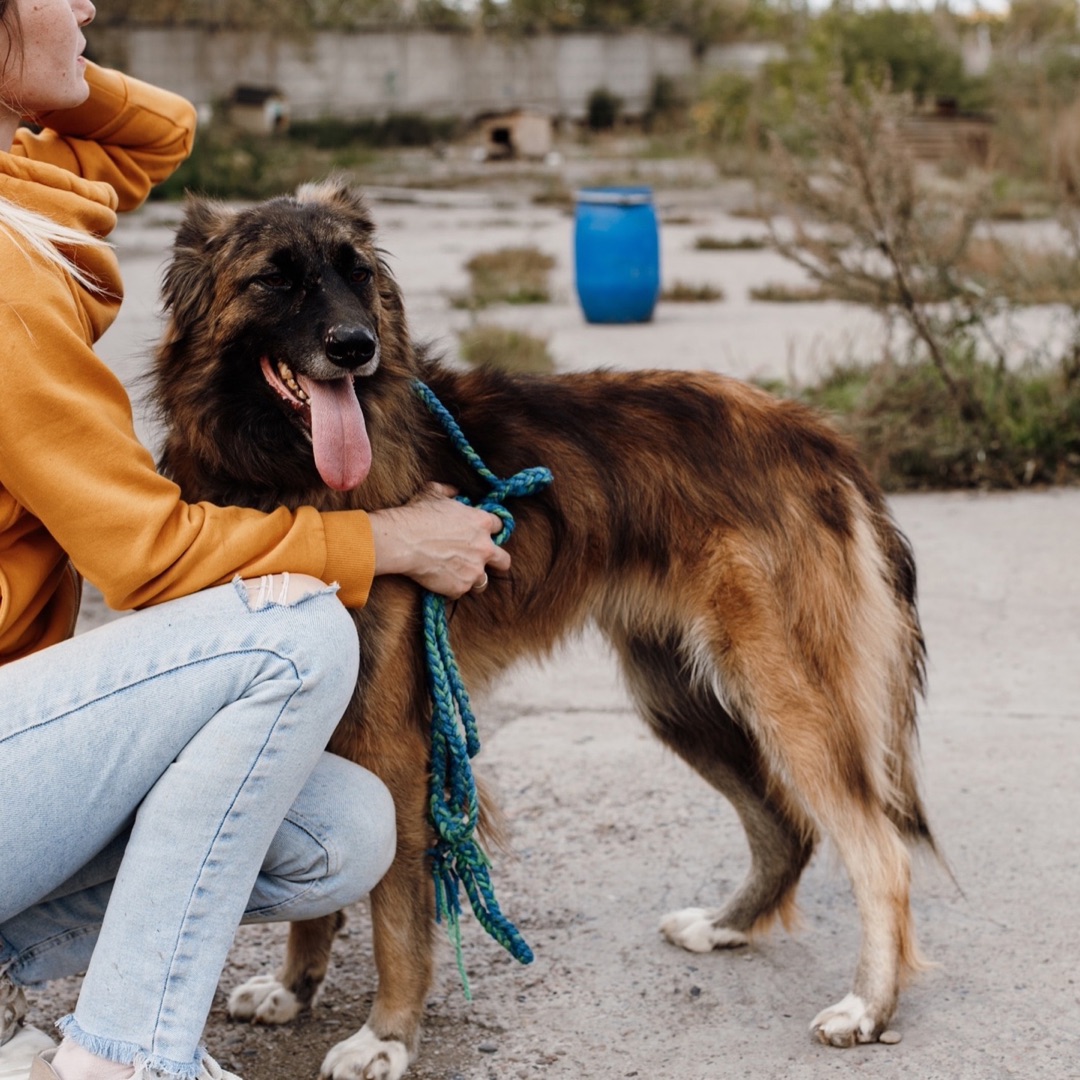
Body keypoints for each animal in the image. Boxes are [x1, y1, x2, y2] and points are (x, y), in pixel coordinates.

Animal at [150, 179, 935, 1080]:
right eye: (277, 279)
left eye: (356, 273)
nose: (356, 349)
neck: (286, 478)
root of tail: (819, 437)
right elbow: (321, 892)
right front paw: (294, 987)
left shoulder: (398, 744)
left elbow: (397, 914)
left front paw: (387, 1036)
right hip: (677, 696)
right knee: (786, 824)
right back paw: (727, 925)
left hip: (783, 691)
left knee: (878, 848)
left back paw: (867, 1007)